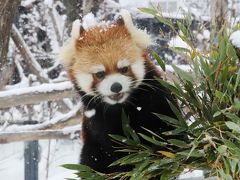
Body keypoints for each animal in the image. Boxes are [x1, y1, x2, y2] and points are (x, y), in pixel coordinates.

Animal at [59, 9, 177, 174]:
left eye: (124, 69)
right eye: (100, 74)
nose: (116, 87)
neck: (121, 106)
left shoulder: (157, 98)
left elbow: (168, 129)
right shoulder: (97, 121)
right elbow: (111, 149)